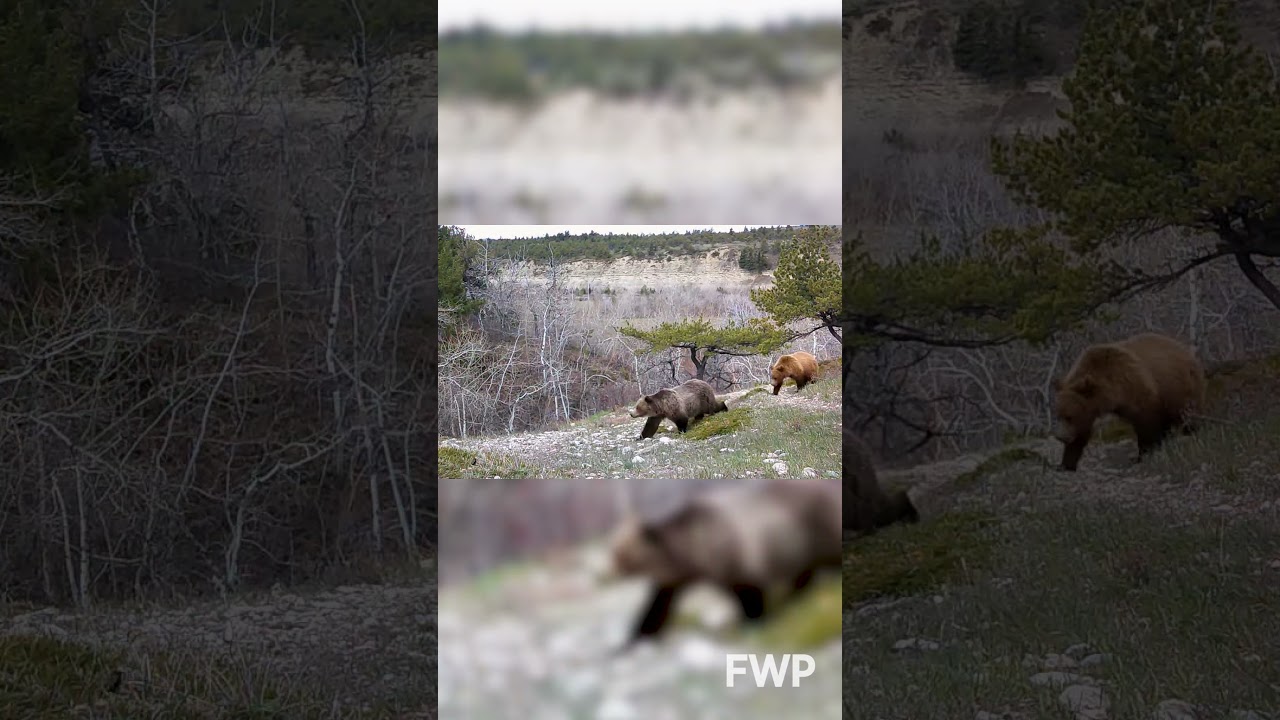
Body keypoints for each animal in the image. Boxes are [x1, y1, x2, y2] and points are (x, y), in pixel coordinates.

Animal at [608, 479, 841, 649]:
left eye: (621, 553)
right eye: (615, 551)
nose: (613, 570)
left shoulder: (734, 558)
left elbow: (750, 595)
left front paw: (752, 623)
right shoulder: (676, 578)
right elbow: (656, 608)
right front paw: (632, 640)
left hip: (815, 532)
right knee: (804, 577)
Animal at [1051, 332, 1205, 472]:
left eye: (1069, 417)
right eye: (1058, 415)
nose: (1060, 437)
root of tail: (1187, 352)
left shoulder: (1136, 388)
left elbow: (1147, 424)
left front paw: (1144, 454)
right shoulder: (1090, 410)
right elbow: (1080, 432)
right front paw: (1065, 464)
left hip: (1181, 388)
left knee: (1187, 415)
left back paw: (1193, 434)